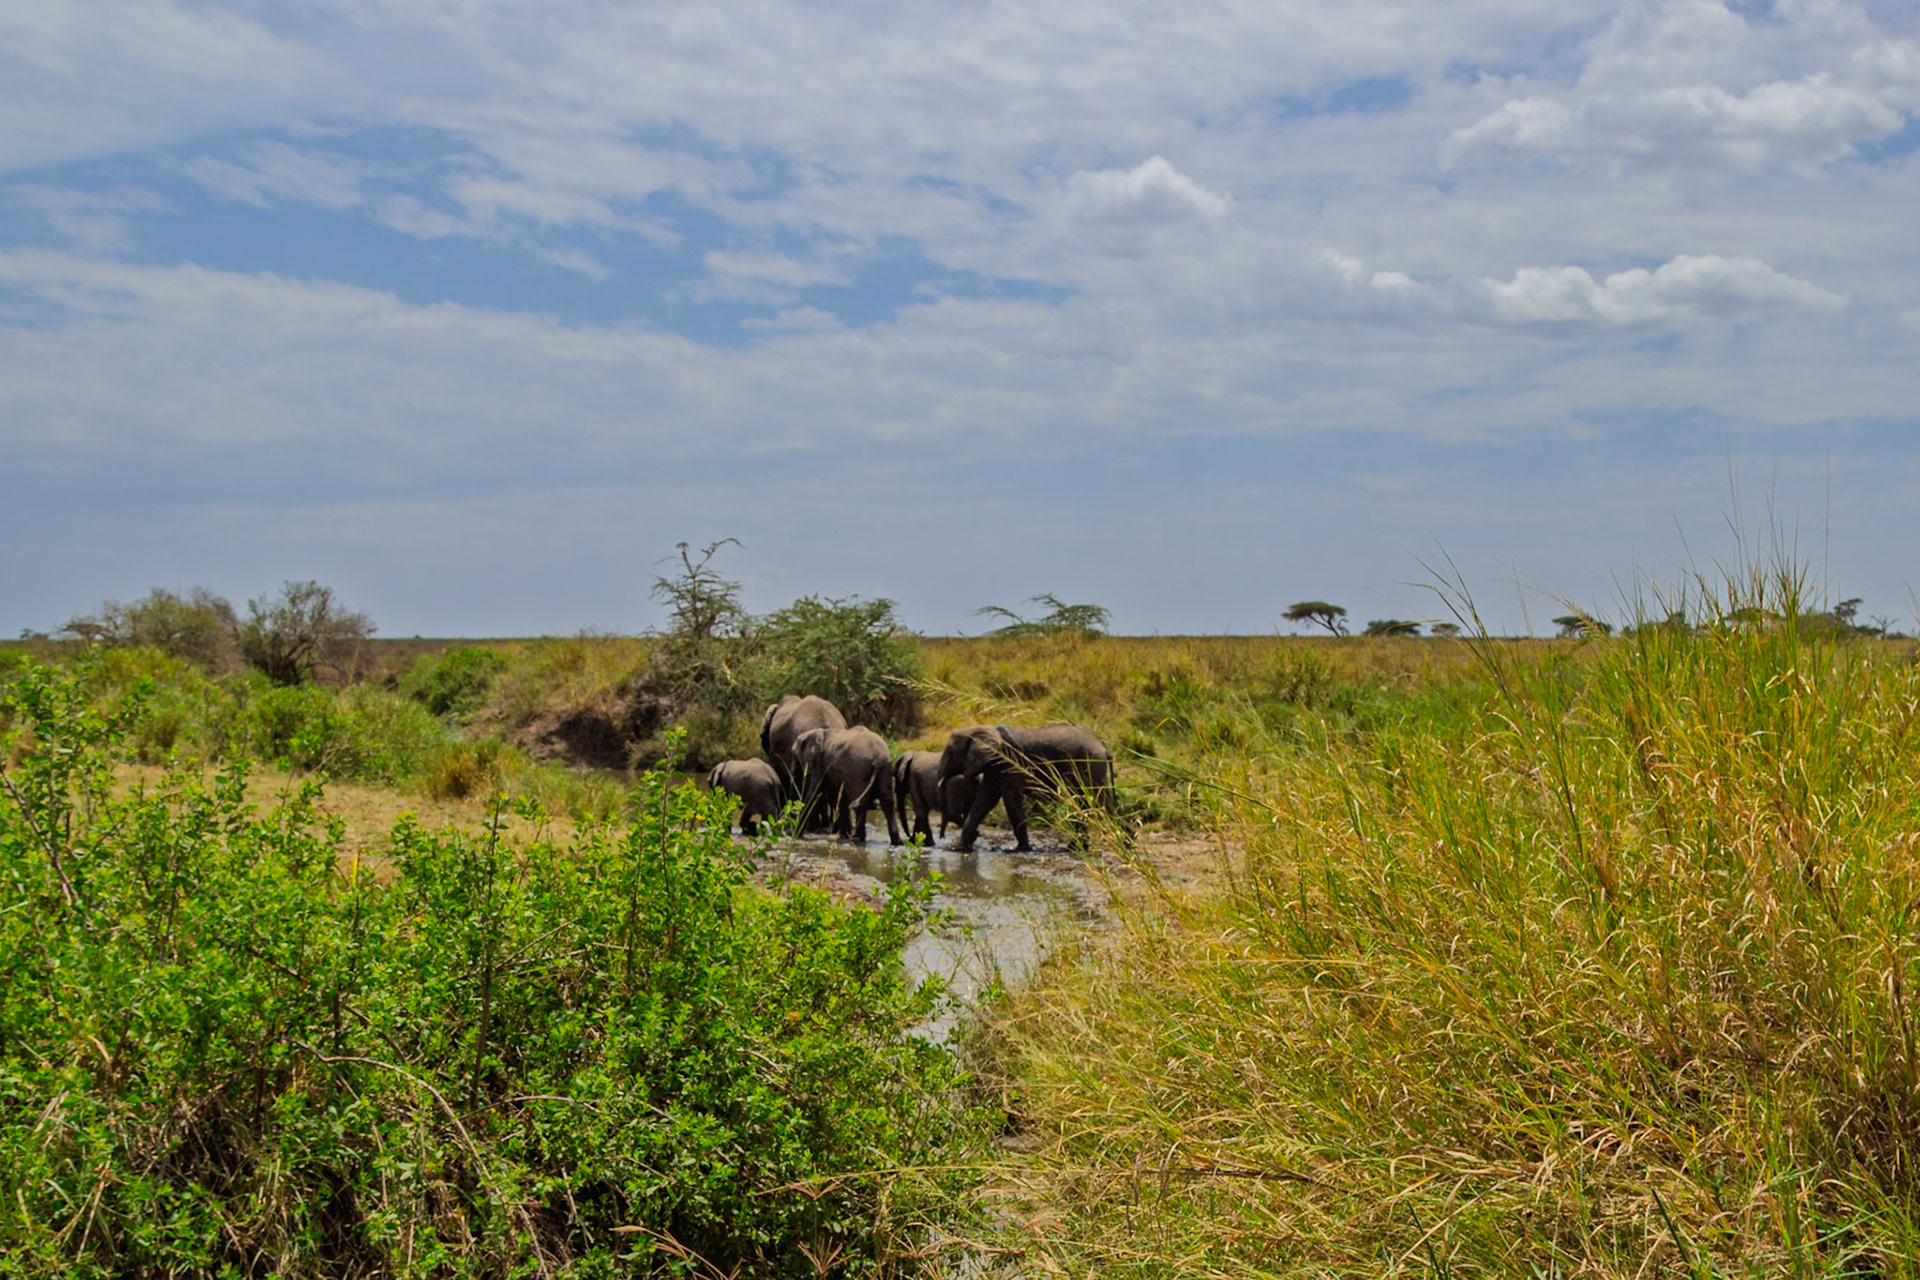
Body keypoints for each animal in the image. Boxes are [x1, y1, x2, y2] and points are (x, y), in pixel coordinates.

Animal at [935, 723, 1114, 853]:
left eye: (949, 753)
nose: (943, 839)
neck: (986, 729)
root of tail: (1102, 743)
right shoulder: (994, 766)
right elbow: (986, 799)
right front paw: (958, 848)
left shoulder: (1010, 763)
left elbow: (1010, 799)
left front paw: (1020, 849)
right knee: (1087, 802)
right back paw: (1077, 848)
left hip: (1089, 763)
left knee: (1097, 800)